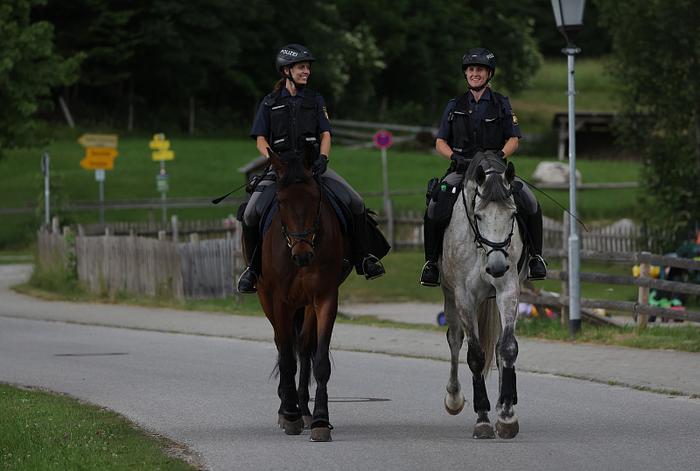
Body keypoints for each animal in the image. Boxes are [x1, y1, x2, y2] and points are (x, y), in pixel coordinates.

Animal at [252, 147, 350, 442]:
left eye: (315, 198)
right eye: (281, 202)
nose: (303, 254)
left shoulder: (325, 298)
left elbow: (319, 361)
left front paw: (319, 420)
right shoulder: (280, 302)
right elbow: (286, 357)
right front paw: (290, 415)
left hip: (305, 305)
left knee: (304, 346)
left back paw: (304, 409)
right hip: (267, 300)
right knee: (282, 345)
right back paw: (288, 408)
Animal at [440, 155, 524, 438]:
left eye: (513, 214)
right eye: (478, 215)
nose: (497, 267)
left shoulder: (508, 290)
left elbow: (507, 348)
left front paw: (507, 415)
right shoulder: (464, 298)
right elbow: (475, 356)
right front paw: (483, 418)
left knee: (497, 347)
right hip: (450, 298)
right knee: (455, 340)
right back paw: (454, 398)